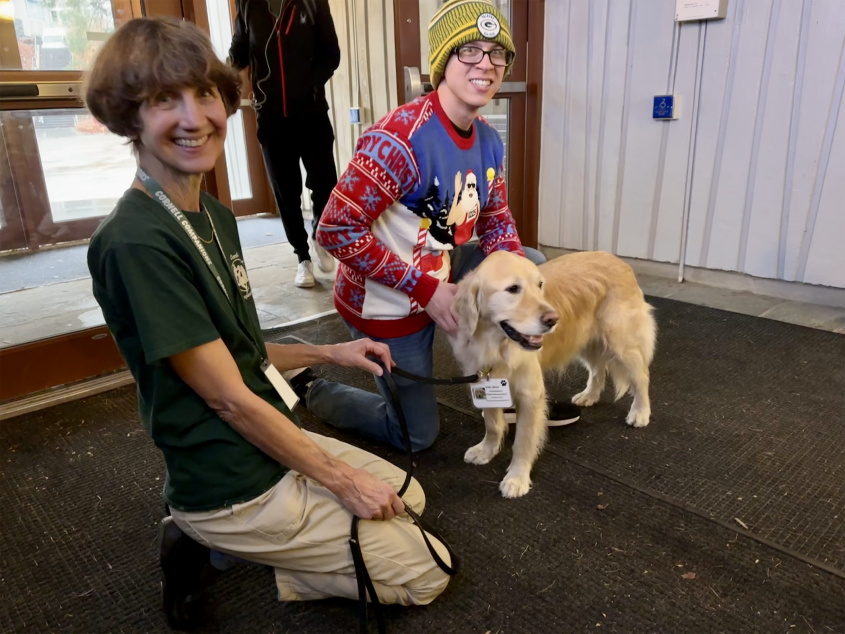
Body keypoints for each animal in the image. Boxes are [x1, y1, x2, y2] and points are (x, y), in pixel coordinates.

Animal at [452, 249, 656, 496]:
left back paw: (640, 412)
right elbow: (492, 424)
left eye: (540, 285)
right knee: (598, 369)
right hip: (585, 340)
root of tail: (619, 260)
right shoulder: (484, 381)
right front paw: (486, 450)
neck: (497, 347)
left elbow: (523, 440)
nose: (553, 319)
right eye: (513, 289)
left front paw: (517, 478)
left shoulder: (530, 395)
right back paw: (589, 395)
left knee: (641, 377)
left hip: (621, 342)